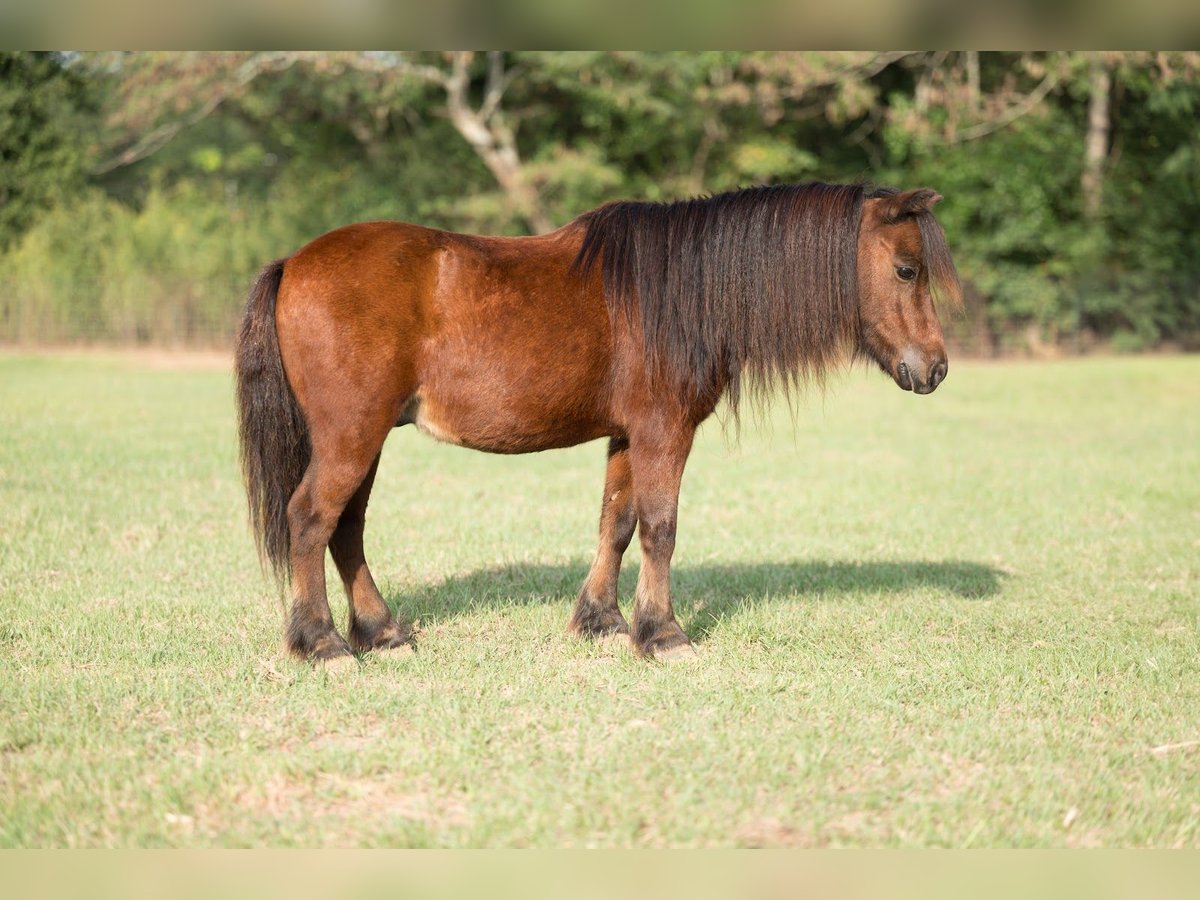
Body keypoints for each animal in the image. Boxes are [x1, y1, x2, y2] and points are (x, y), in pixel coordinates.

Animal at [234, 181, 961, 664]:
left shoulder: (627, 434)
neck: (679, 291)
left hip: (366, 438)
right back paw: (323, 643)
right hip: (352, 436)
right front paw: (662, 634)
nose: (935, 368)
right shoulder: (665, 431)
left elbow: (617, 521)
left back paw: (381, 632)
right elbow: (661, 528)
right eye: (906, 269)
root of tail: (293, 263)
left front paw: (602, 620)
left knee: (346, 528)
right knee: (311, 519)